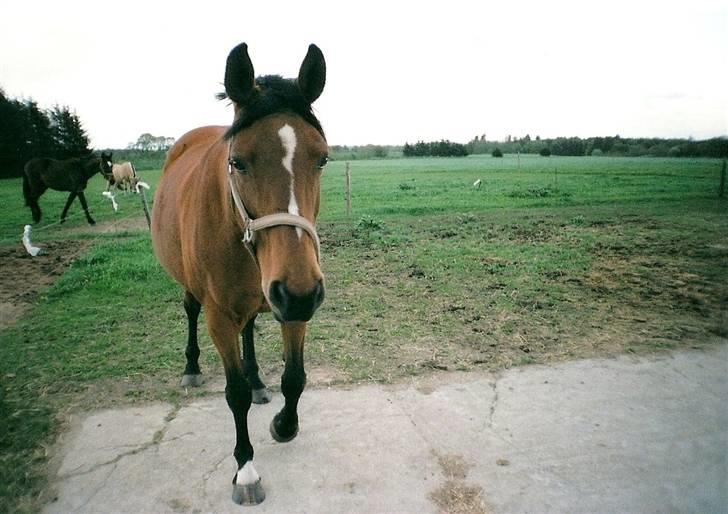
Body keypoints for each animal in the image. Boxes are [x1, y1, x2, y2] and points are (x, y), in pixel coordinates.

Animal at [151, 42, 328, 502]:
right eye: (238, 162)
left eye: (322, 158)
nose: (299, 293)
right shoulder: (221, 317)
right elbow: (234, 395)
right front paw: (246, 469)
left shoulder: (292, 306)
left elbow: (294, 377)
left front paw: (284, 424)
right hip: (195, 291)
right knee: (190, 312)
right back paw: (193, 369)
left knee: (250, 326)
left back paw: (258, 381)